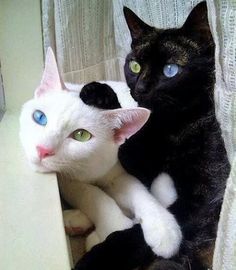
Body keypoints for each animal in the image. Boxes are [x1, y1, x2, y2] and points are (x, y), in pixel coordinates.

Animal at [19, 48, 183, 258]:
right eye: (39, 117)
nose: (43, 150)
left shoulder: (115, 172)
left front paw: (164, 227)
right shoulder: (66, 178)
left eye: (81, 135)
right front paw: (114, 225)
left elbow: (138, 191)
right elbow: (92, 193)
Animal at [76, 2, 230, 270]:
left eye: (171, 70)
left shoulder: (205, 194)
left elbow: (136, 234)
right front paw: (99, 93)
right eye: (135, 66)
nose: (141, 88)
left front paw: (98, 258)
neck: (168, 127)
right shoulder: (135, 162)